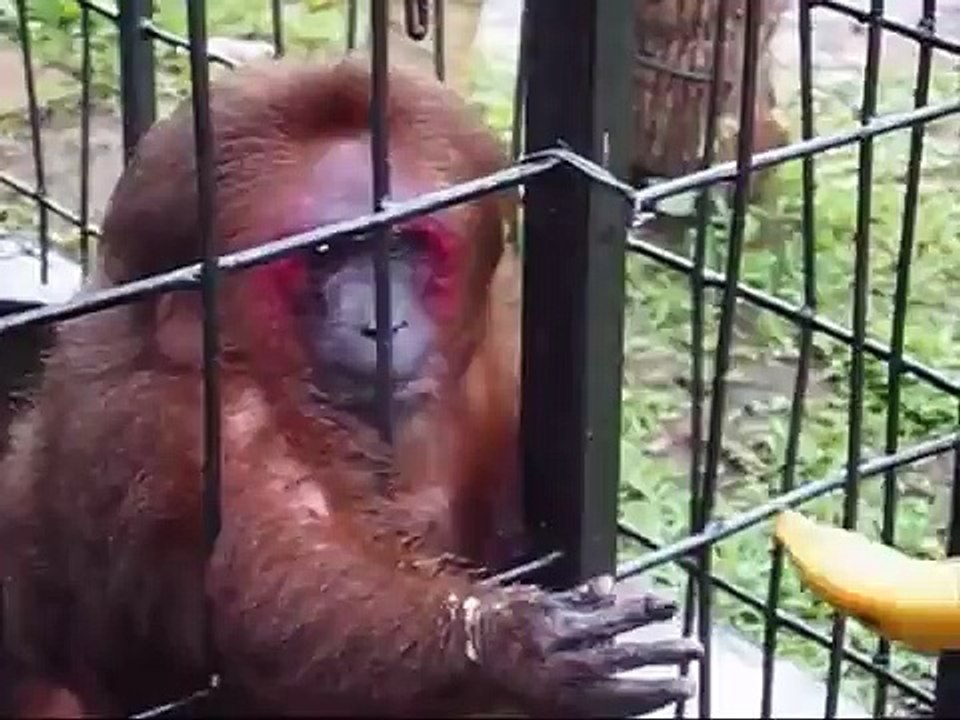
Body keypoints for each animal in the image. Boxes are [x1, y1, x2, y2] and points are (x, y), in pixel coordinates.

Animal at [0, 55, 701, 716]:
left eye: (405, 246)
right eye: (325, 254)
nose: (381, 322)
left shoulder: (502, 338)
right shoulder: (166, 418)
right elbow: (272, 582)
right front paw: (496, 643)